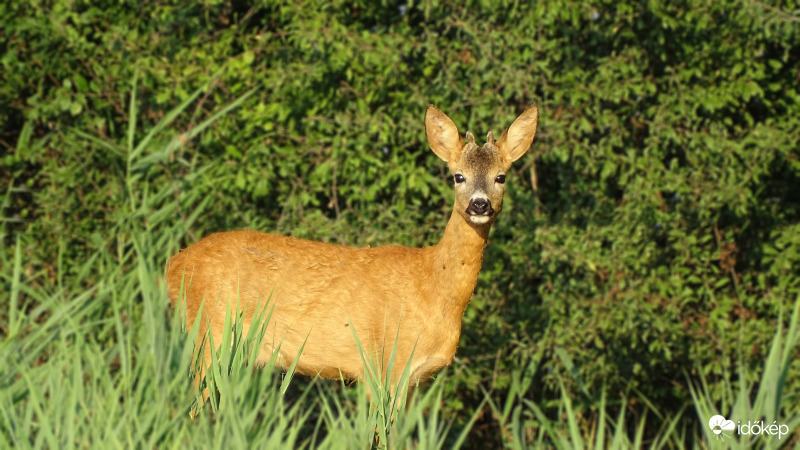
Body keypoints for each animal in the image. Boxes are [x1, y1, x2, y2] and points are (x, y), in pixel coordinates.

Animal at [164, 104, 536, 400]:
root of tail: (173, 264)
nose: (479, 204)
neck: (434, 287)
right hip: (210, 335)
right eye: (458, 176)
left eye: (501, 177)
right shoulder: (385, 366)